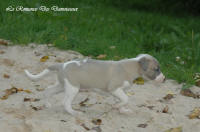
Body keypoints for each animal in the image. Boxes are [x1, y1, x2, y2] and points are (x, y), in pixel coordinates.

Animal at [25, 54, 165, 115]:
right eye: (156, 69)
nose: (164, 79)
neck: (132, 66)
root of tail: (61, 65)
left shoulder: (118, 92)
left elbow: (123, 101)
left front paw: (122, 109)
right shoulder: (114, 89)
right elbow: (126, 99)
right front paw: (117, 106)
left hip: (62, 85)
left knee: (48, 90)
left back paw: (47, 104)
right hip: (73, 88)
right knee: (65, 102)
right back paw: (74, 112)